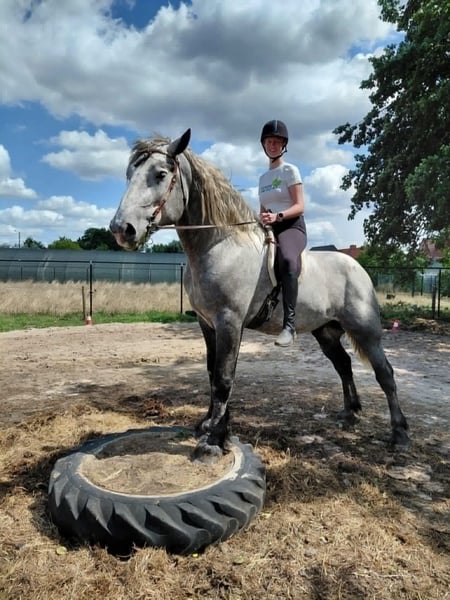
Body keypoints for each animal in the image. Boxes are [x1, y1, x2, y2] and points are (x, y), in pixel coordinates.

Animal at [110, 128, 409, 462]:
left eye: (161, 174)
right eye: (129, 174)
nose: (121, 229)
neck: (220, 245)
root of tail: (357, 267)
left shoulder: (229, 322)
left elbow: (223, 379)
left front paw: (213, 442)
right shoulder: (207, 324)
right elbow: (212, 373)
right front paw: (210, 426)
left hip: (366, 330)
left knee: (385, 374)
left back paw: (399, 434)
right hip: (326, 331)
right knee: (343, 365)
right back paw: (350, 413)